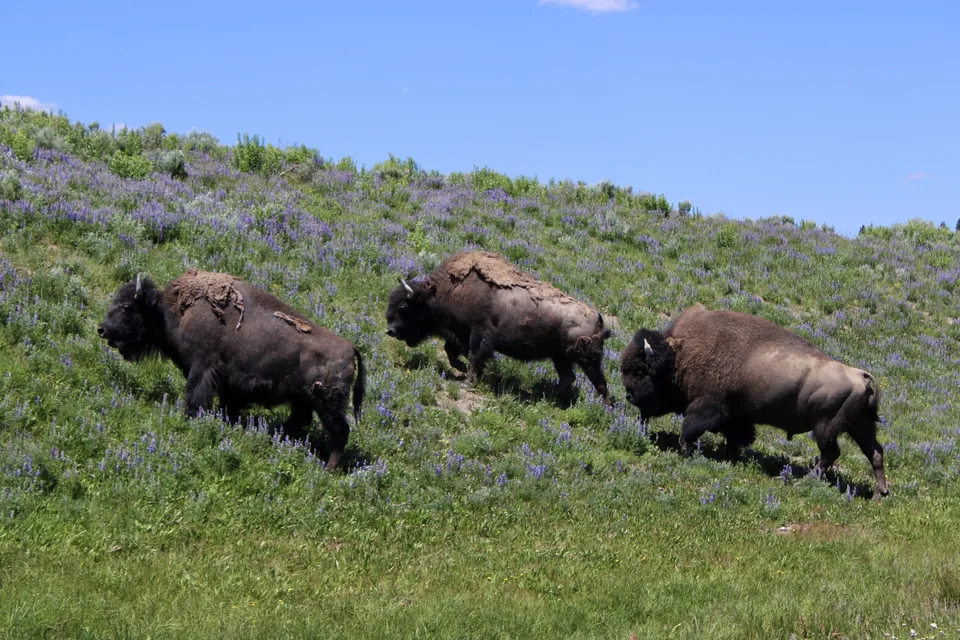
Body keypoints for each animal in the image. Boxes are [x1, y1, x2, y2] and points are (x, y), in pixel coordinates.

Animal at [98, 269, 365, 469]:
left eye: (126, 307)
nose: (102, 329)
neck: (173, 311)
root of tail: (351, 347)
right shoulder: (229, 386)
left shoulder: (202, 368)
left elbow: (195, 398)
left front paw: (188, 418)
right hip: (304, 399)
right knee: (302, 420)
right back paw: (274, 436)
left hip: (327, 405)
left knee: (340, 432)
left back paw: (328, 468)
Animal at [385, 251, 612, 404]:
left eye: (403, 307)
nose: (390, 330)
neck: (448, 290)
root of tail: (597, 316)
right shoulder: (460, 333)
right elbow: (451, 350)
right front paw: (462, 368)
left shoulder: (478, 334)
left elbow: (475, 356)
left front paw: (469, 380)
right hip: (560, 357)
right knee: (568, 377)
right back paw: (544, 397)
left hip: (587, 359)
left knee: (599, 382)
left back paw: (605, 407)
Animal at [620, 304, 888, 496]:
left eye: (641, 371)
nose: (629, 395)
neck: (680, 355)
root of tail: (862, 376)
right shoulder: (736, 417)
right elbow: (736, 437)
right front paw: (730, 458)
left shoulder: (706, 406)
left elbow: (691, 429)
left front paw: (686, 452)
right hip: (860, 425)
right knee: (874, 452)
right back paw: (880, 493)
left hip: (826, 428)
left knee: (831, 453)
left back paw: (804, 480)